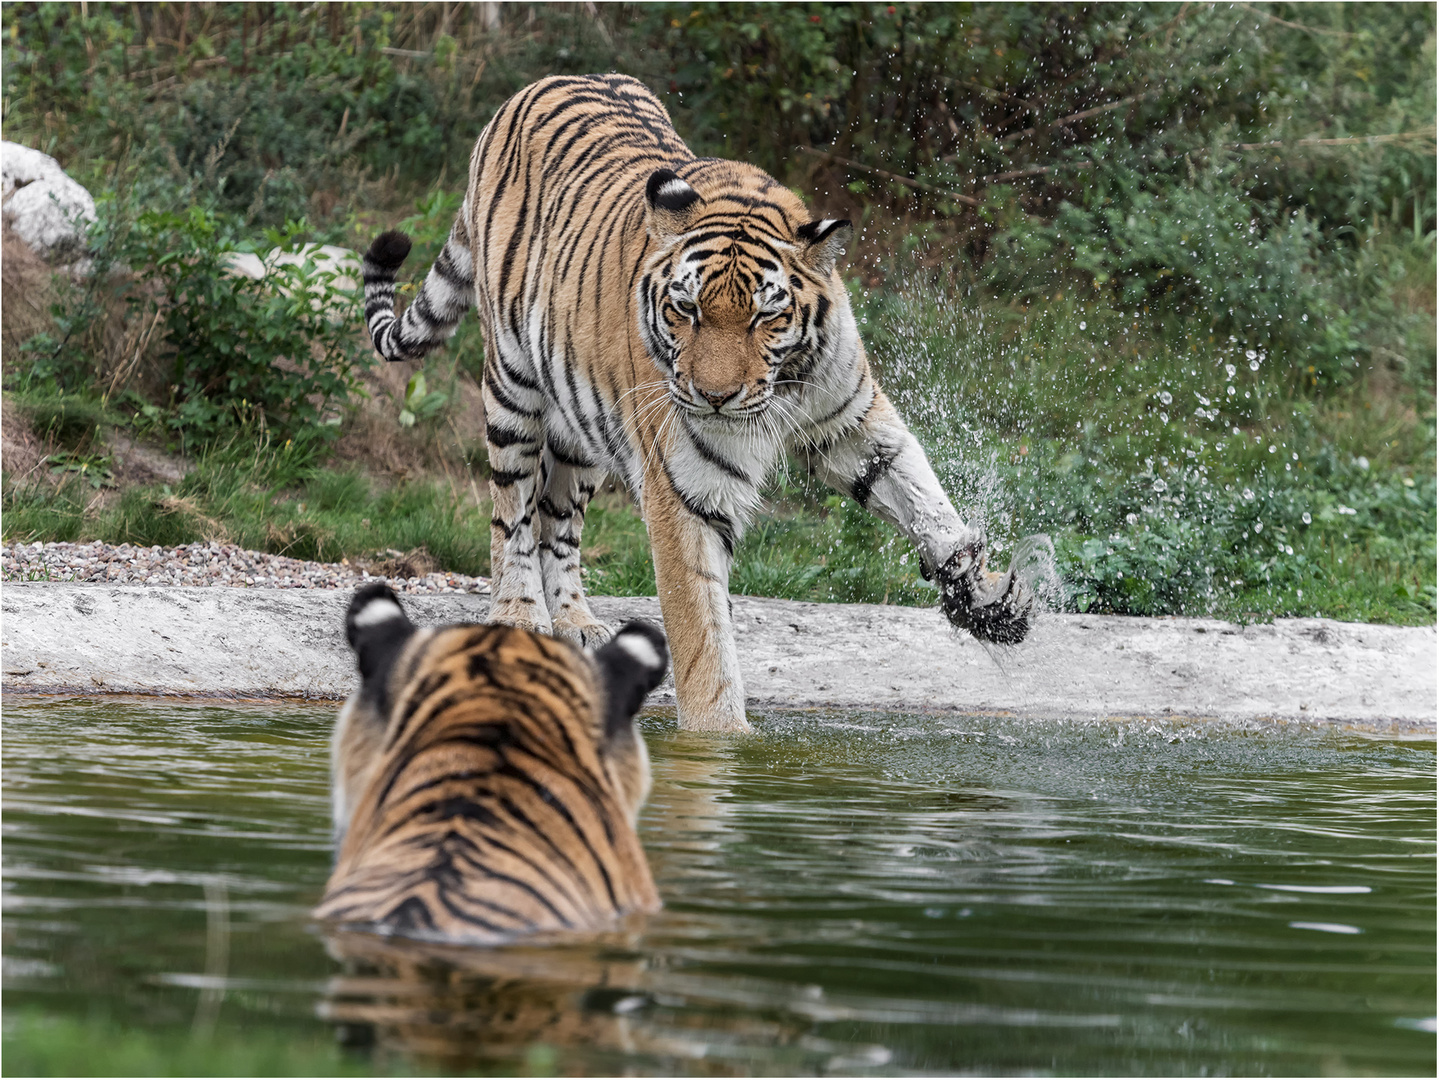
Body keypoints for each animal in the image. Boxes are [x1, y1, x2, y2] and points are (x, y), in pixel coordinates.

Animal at [362, 71, 1036, 736]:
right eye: (685, 308)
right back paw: (519, 615)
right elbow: (703, 647)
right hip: (511, 384)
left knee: (558, 522)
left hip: (580, 433)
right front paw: (723, 744)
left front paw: (986, 601)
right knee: (513, 511)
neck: (782, 384)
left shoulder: (853, 423)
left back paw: (576, 623)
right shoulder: (685, 492)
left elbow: (925, 501)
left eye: (768, 315)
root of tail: (540, 84)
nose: (714, 397)